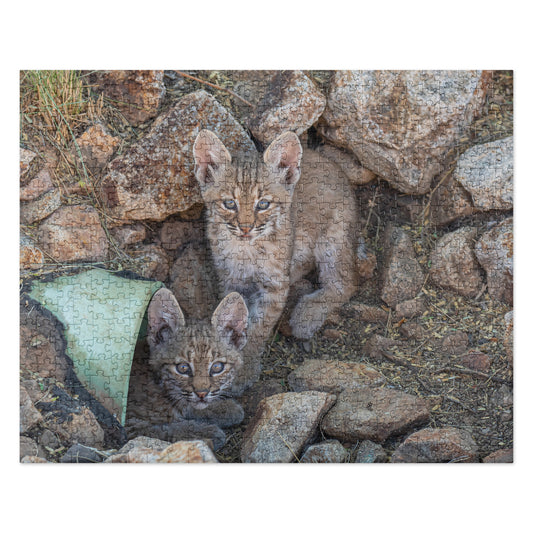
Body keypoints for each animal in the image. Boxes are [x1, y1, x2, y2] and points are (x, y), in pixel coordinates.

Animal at [125, 286, 248, 448]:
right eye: (183, 368)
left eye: (217, 367)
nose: (202, 394)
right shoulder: (129, 424)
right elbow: (161, 431)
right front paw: (204, 432)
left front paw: (224, 408)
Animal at [193, 128, 360, 386]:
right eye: (229, 203)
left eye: (263, 204)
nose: (245, 228)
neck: (247, 249)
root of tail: (337, 170)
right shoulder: (231, 280)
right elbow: (235, 319)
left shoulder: (274, 285)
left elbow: (258, 327)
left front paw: (245, 369)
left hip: (333, 239)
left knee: (347, 283)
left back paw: (306, 315)